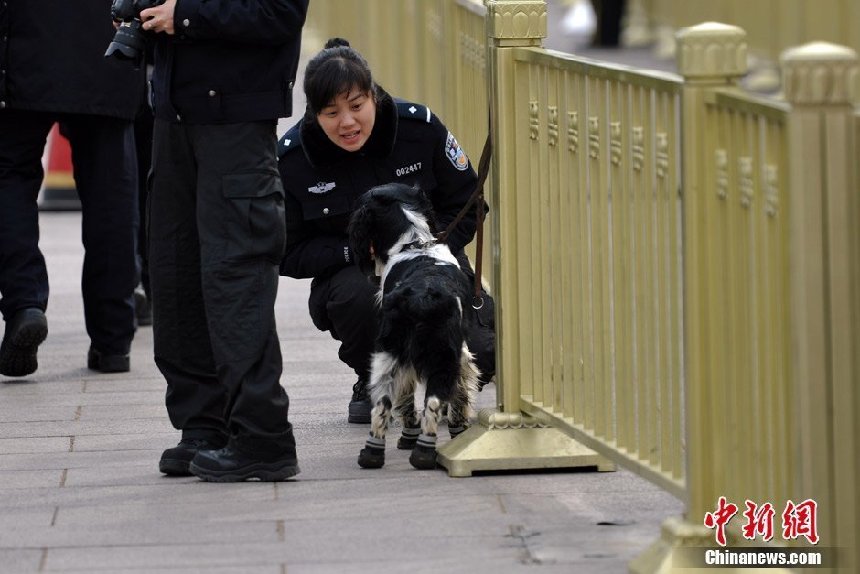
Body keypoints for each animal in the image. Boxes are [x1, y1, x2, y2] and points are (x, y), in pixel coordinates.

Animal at [350, 184, 484, 472]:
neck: (414, 244)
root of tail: (423, 296)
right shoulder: (461, 354)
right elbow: (459, 396)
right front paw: (459, 433)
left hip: (388, 355)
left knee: (383, 403)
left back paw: (373, 455)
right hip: (441, 356)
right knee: (431, 400)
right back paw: (422, 453)